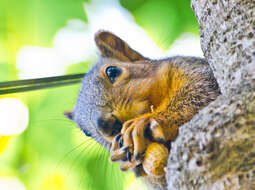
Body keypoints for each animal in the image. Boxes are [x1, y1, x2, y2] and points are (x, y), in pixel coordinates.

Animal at [64, 30, 221, 190]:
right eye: (86, 133)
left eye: (113, 71)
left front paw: (147, 121)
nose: (105, 125)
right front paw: (124, 158)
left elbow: (199, 91)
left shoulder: (192, 69)